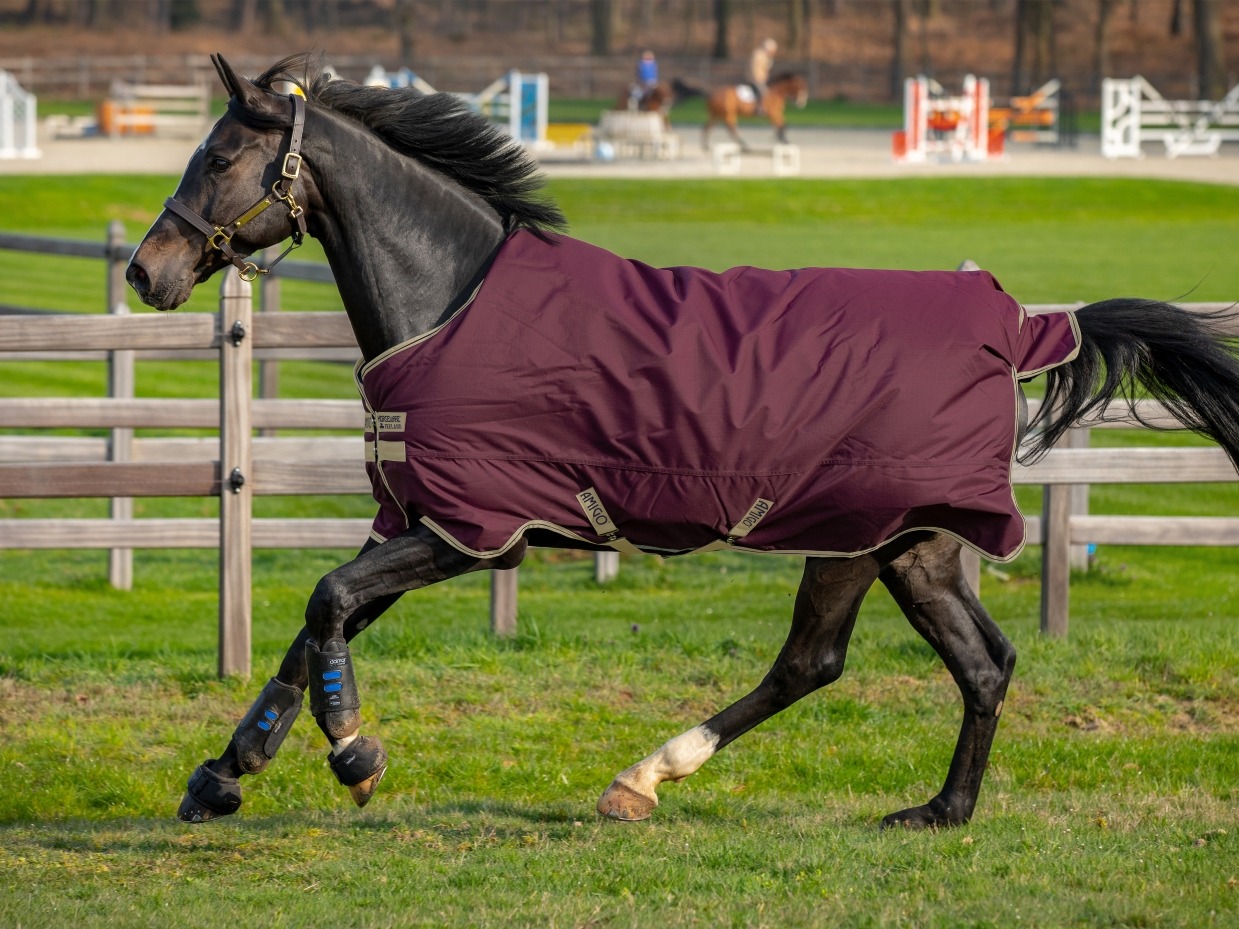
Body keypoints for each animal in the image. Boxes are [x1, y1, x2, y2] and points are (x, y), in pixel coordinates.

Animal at [128, 54, 1239, 832]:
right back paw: (935, 809)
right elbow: (315, 625)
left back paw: (647, 776)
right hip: (909, 545)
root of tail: (1015, 325)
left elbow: (327, 603)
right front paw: (223, 772)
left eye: (219, 157)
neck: (452, 302)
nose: (147, 270)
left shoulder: (472, 531)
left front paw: (354, 753)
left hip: (855, 536)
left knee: (816, 662)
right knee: (976, 663)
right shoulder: (424, 522)